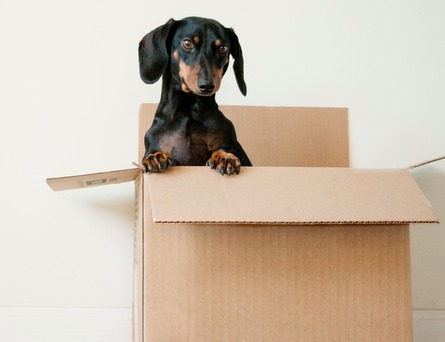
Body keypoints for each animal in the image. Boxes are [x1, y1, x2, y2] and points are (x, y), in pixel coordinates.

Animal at [138, 16, 250, 175]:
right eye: (187, 43)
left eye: (222, 48)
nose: (207, 85)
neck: (188, 110)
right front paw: (155, 157)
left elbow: (224, 149)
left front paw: (225, 156)